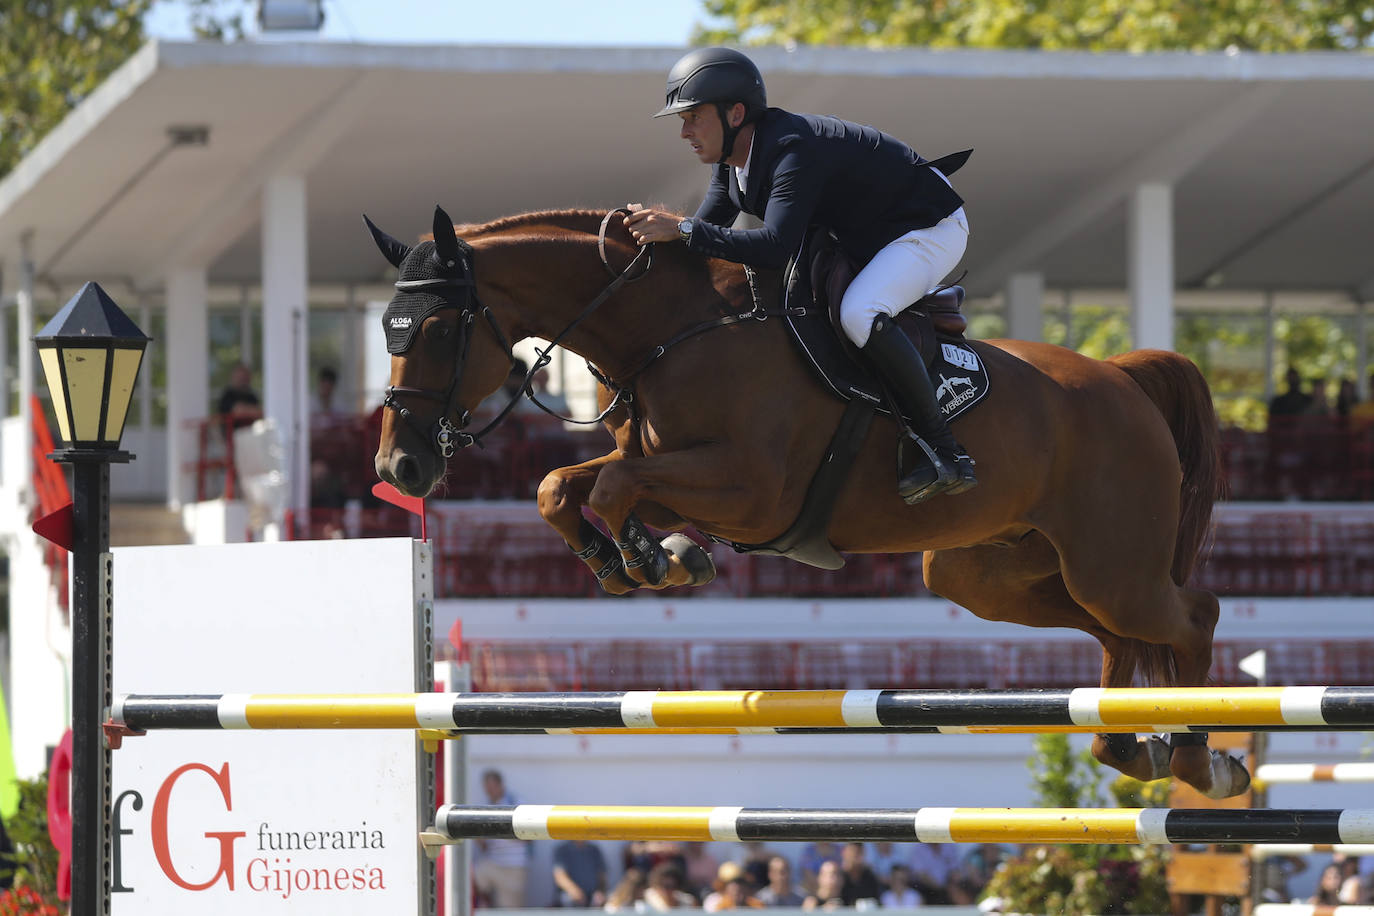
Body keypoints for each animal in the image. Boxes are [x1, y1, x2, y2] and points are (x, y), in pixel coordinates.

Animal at [368, 204, 1247, 796]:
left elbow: (614, 488)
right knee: (1119, 631)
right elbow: (566, 486)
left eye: (439, 330)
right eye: (386, 330)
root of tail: (1123, 377)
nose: (400, 466)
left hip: (1111, 562)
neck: (672, 329)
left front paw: (655, 558)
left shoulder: (750, 490)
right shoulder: (667, 469)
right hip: (989, 574)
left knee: (1190, 615)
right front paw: (640, 560)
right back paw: (1130, 748)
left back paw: (1202, 760)